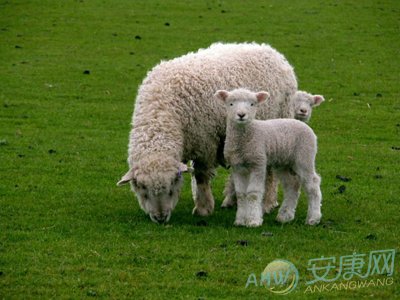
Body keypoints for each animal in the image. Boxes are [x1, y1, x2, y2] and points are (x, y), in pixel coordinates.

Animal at [115, 42, 296, 225]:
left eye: (172, 188)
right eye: (142, 190)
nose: (160, 218)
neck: (161, 109)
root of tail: (271, 51)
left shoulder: (205, 143)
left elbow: (201, 175)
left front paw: (203, 208)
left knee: (270, 170)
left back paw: (267, 203)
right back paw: (232, 200)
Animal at [217, 88, 324, 227]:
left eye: (252, 104)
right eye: (231, 104)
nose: (241, 115)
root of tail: (301, 123)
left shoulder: (258, 163)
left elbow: (253, 193)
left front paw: (253, 220)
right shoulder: (237, 167)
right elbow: (241, 194)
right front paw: (240, 220)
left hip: (304, 156)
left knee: (313, 184)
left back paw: (313, 218)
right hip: (283, 162)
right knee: (292, 184)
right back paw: (285, 216)